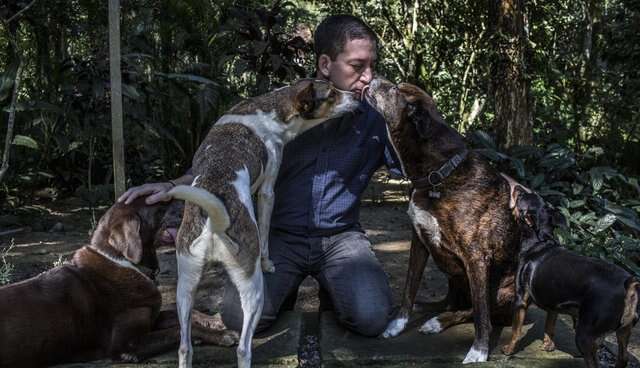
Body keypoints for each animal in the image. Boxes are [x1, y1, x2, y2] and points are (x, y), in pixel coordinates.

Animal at [0, 198, 235, 368]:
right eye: (162, 206)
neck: (124, 261)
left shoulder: (151, 316)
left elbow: (181, 314)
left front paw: (215, 321)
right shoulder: (125, 345)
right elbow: (177, 330)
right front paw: (222, 335)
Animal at [168, 79, 360, 368]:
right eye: (332, 94)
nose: (358, 95)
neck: (269, 109)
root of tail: (213, 223)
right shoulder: (268, 190)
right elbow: (267, 231)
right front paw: (269, 262)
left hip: (185, 288)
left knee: (184, 347)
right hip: (253, 290)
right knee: (243, 349)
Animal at [364, 78, 520, 366]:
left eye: (395, 89)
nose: (372, 78)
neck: (437, 174)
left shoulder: (476, 257)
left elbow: (481, 312)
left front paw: (479, 351)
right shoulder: (419, 240)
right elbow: (409, 288)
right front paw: (398, 324)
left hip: (506, 290)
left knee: (475, 310)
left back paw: (438, 322)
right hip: (453, 276)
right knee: (450, 302)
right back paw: (431, 312)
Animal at [502, 190, 636, 368]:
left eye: (523, 199)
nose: (520, 190)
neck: (540, 240)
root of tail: (628, 284)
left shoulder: (520, 300)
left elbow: (516, 331)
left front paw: (509, 349)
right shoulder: (553, 303)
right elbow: (550, 324)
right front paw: (548, 345)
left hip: (585, 336)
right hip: (624, 332)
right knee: (623, 357)